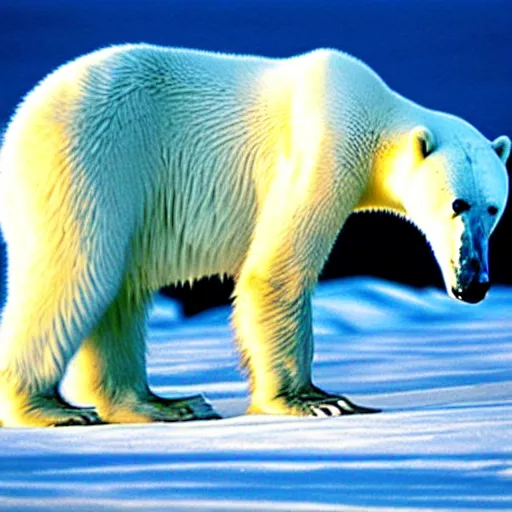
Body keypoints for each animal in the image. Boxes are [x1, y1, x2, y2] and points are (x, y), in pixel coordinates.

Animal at [0, 45, 506, 428]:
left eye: (494, 207)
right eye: (457, 204)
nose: (473, 283)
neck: (374, 113)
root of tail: (24, 115)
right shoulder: (325, 147)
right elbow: (276, 272)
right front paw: (319, 401)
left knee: (120, 292)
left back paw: (168, 403)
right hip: (92, 159)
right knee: (80, 272)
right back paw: (51, 408)